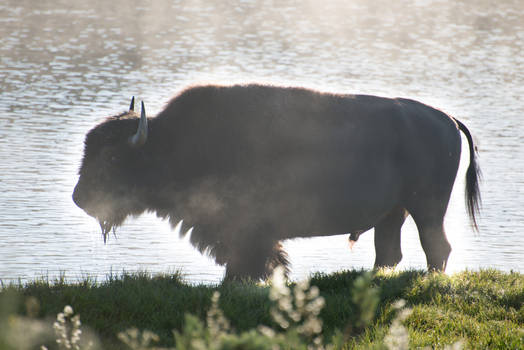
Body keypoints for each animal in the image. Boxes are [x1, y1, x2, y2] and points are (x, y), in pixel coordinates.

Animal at [71, 83, 482, 280]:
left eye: (112, 158)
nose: (79, 198)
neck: (169, 142)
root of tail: (448, 119)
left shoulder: (245, 230)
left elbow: (253, 258)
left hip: (427, 209)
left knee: (436, 247)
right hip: (394, 213)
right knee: (389, 252)